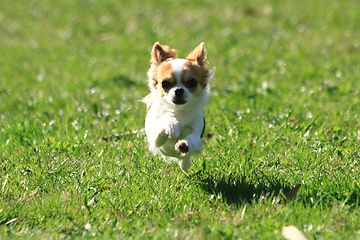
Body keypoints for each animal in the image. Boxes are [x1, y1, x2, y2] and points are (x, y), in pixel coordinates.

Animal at [143, 42, 215, 172]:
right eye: (165, 84)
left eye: (192, 82)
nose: (178, 90)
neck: (179, 111)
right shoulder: (155, 138)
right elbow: (166, 118)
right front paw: (172, 125)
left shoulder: (197, 135)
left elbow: (192, 138)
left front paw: (183, 145)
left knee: (185, 159)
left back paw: (184, 164)